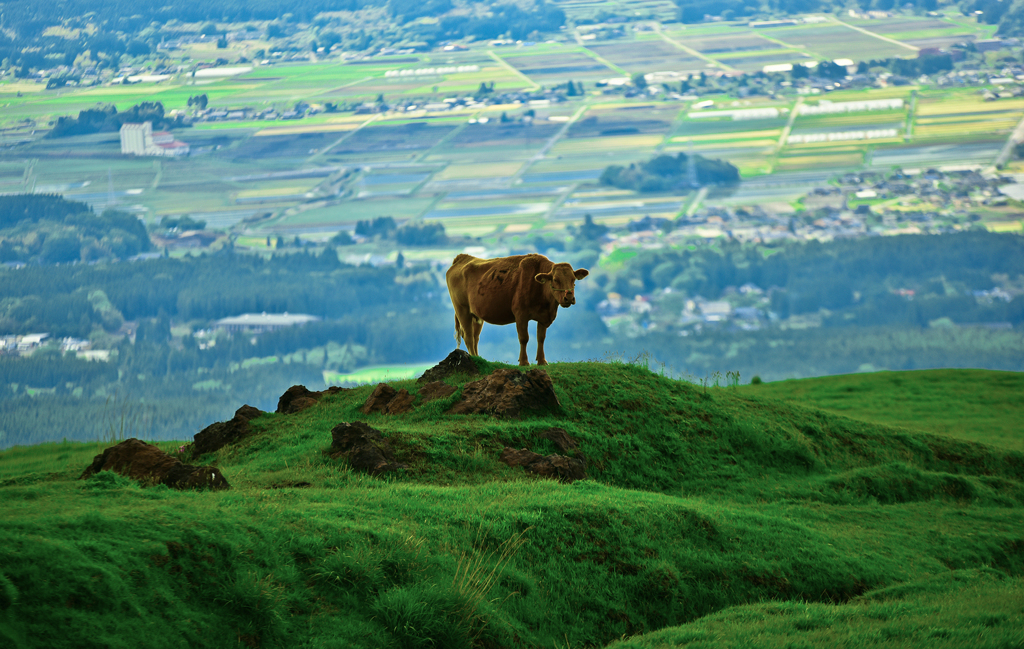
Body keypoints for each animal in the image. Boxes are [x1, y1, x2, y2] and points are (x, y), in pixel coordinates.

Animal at [448, 251, 593, 364]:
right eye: (555, 280)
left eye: (573, 279)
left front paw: (542, 361)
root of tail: (462, 258)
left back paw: (479, 358)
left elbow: (541, 338)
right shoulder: (520, 314)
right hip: (462, 309)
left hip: (476, 315)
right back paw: (474, 358)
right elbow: (524, 338)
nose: (569, 298)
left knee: (475, 337)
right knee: (468, 336)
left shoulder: (544, 317)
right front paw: (524, 362)